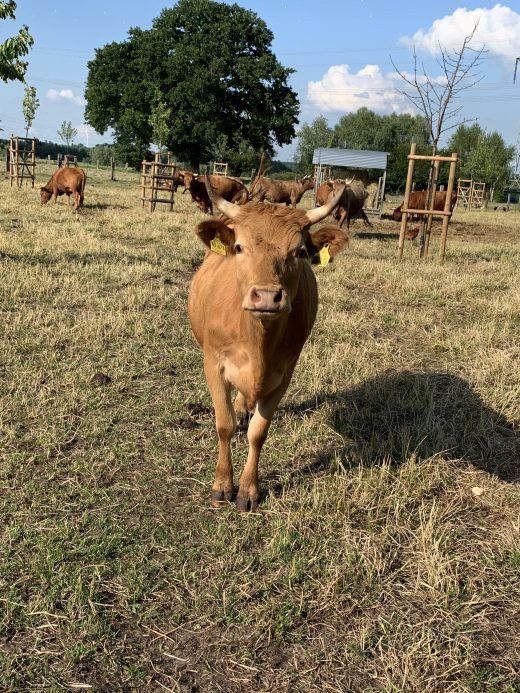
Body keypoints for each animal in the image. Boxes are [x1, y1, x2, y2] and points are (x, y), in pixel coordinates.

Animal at [188, 181, 350, 510]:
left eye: (300, 251)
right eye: (239, 247)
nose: (265, 296)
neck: (257, 342)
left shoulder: (283, 374)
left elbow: (258, 433)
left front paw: (249, 490)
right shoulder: (213, 363)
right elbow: (223, 425)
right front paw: (222, 485)